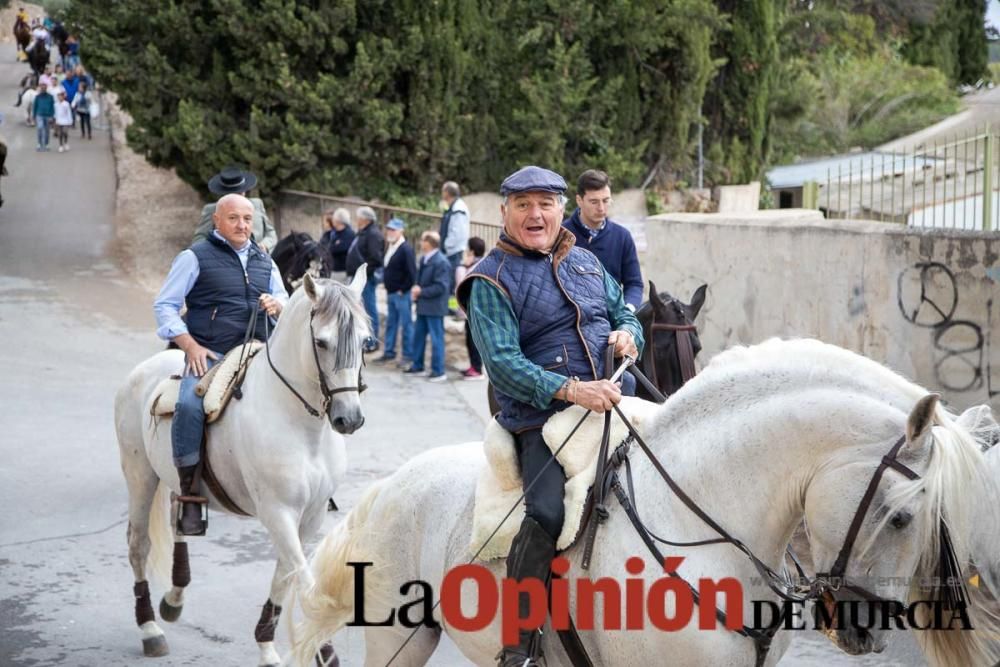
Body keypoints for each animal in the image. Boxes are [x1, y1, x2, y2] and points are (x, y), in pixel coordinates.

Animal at [114, 272, 372, 667]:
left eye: (365, 341)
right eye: (321, 342)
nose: (349, 418)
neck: (299, 424)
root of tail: (143, 371)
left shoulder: (309, 516)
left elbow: (286, 575)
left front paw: (272, 644)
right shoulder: (278, 513)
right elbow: (304, 580)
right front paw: (320, 649)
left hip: (176, 481)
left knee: (178, 521)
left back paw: (174, 599)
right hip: (141, 475)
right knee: (138, 544)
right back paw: (150, 628)